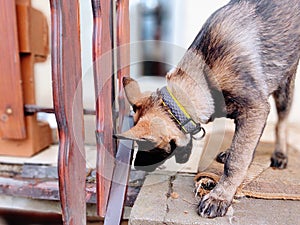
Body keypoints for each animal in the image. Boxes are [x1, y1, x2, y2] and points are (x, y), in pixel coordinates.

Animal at [115, 0, 300, 218]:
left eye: (147, 146)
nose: (135, 165)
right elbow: (242, 147)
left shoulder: (255, 108)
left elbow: (237, 160)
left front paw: (220, 196)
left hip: (284, 88)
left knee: (281, 123)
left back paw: (280, 154)